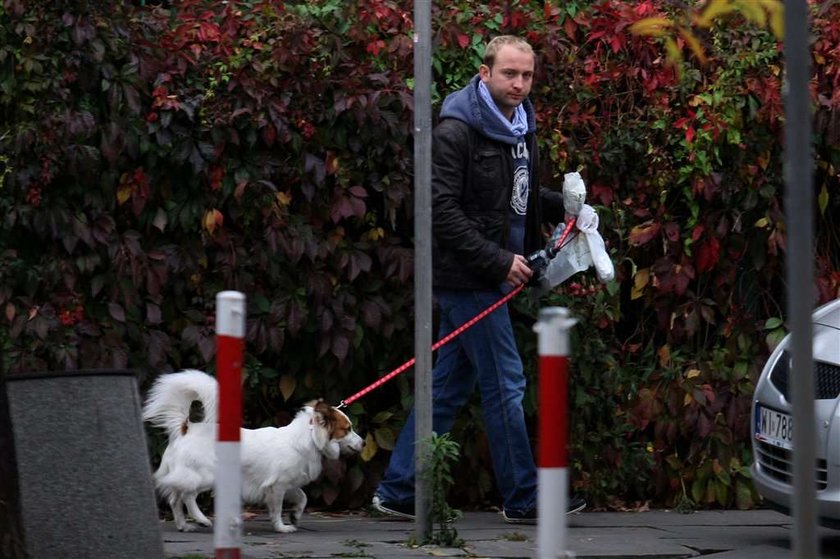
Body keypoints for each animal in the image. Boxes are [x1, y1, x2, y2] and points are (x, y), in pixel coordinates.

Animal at [142, 372, 364, 532]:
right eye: (348, 429)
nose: (362, 443)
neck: (308, 437)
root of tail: (185, 429)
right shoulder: (277, 486)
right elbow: (277, 509)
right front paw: (281, 527)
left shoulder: (287, 484)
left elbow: (302, 498)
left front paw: (295, 516)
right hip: (205, 476)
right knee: (188, 496)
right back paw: (202, 519)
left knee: (175, 499)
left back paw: (184, 525)